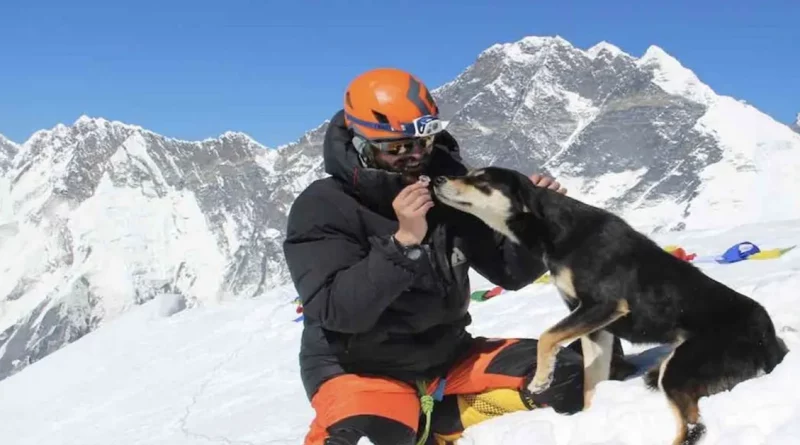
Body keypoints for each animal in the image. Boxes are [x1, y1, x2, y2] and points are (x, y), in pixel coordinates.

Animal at [432, 166, 788, 444]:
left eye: (481, 179)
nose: (436, 178)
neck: (556, 230)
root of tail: (768, 336)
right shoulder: (596, 328)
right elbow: (592, 384)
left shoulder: (602, 305)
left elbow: (547, 337)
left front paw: (542, 378)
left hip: (680, 368)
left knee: (693, 428)